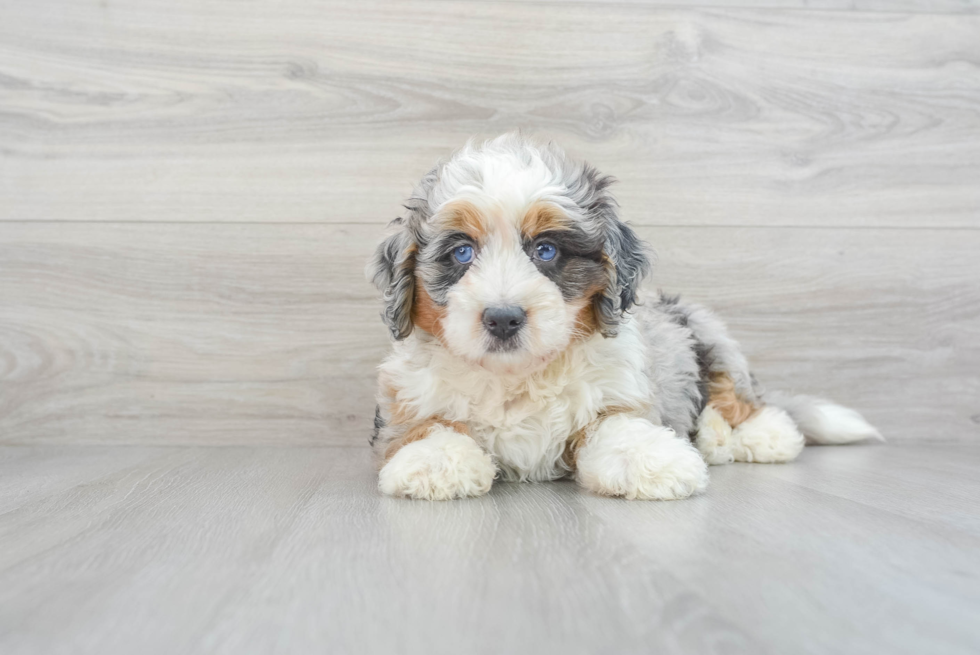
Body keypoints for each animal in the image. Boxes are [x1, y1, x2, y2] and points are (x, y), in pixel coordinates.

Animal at [366, 133, 880, 502]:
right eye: (462, 252)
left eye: (546, 250)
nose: (504, 318)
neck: (519, 377)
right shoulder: (407, 402)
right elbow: (429, 428)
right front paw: (433, 464)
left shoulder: (616, 394)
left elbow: (621, 430)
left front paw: (658, 463)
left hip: (708, 333)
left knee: (744, 400)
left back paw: (752, 437)